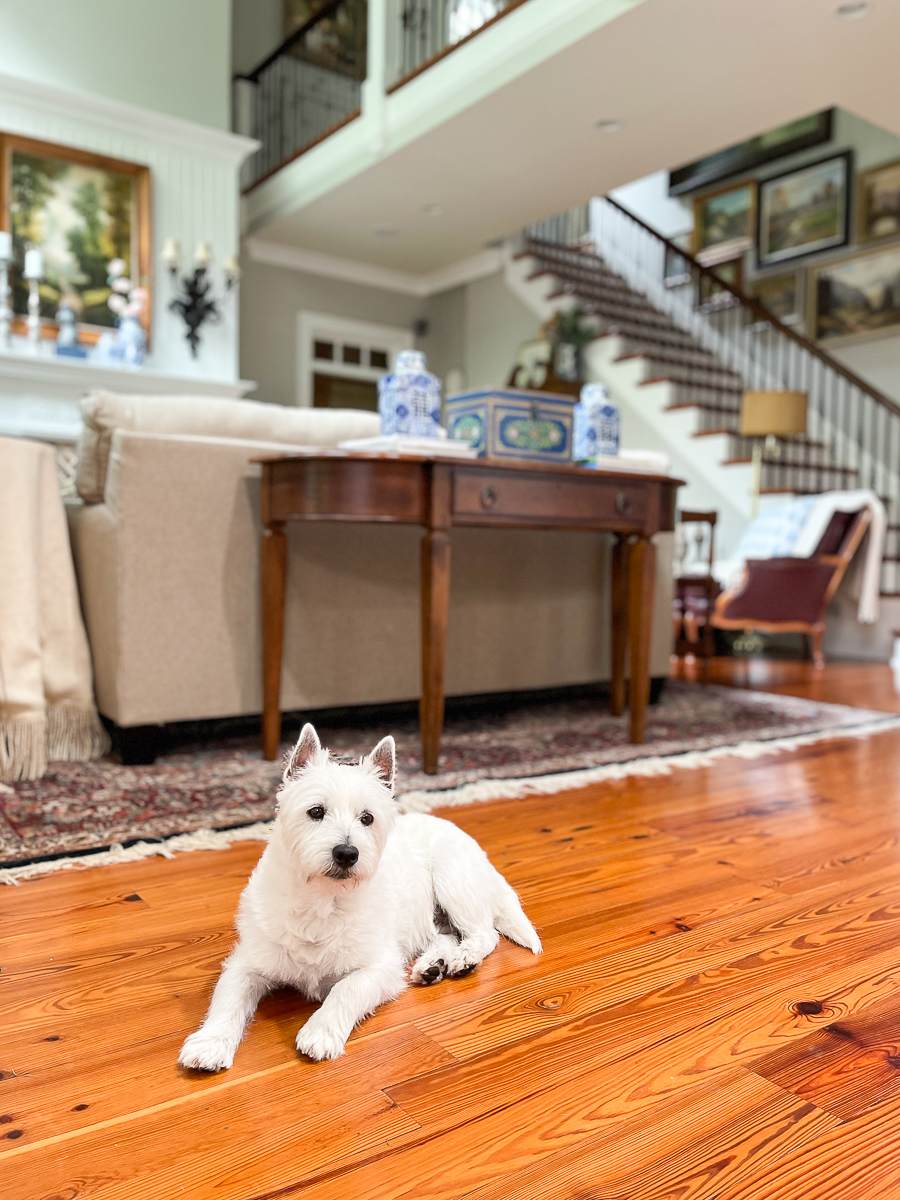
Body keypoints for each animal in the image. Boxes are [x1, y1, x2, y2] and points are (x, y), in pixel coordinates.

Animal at [180, 720, 540, 1070]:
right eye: (315, 811)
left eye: (367, 818)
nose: (346, 853)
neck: (322, 901)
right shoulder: (248, 963)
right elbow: (227, 1000)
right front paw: (209, 1044)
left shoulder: (379, 967)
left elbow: (346, 988)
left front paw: (321, 1032)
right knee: (446, 935)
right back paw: (433, 965)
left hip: (453, 879)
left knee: (483, 934)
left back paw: (463, 960)